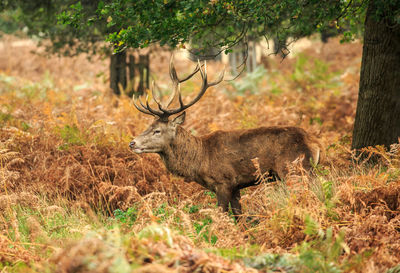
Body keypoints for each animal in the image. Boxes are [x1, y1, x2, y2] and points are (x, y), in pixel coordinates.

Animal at [130, 58, 320, 218]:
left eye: (157, 131)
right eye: (149, 126)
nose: (132, 143)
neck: (200, 159)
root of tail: (316, 145)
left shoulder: (224, 182)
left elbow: (221, 215)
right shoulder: (236, 187)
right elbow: (239, 216)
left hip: (295, 170)